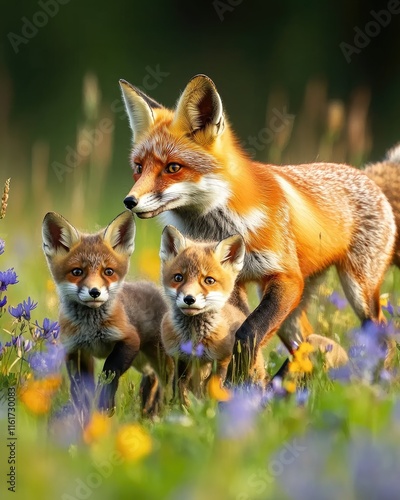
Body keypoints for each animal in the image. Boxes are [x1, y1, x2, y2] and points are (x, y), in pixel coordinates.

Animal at [42, 211, 173, 418]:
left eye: (108, 271)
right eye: (77, 272)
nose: (94, 292)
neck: (90, 328)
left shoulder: (129, 339)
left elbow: (109, 374)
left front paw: (105, 408)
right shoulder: (76, 349)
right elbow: (80, 387)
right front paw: (83, 415)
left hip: (158, 357)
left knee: (168, 380)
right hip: (142, 361)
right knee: (152, 379)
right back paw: (148, 411)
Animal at [119, 74, 396, 372]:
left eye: (172, 168)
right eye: (138, 168)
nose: (129, 201)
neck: (221, 226)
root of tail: (366, 174)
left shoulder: (286, 277)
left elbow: (248, 331)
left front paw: (239, 378)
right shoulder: (230, 283)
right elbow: (237, 329)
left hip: (356, 291)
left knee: (384, 337)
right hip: (292, 313)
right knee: (308, 343)